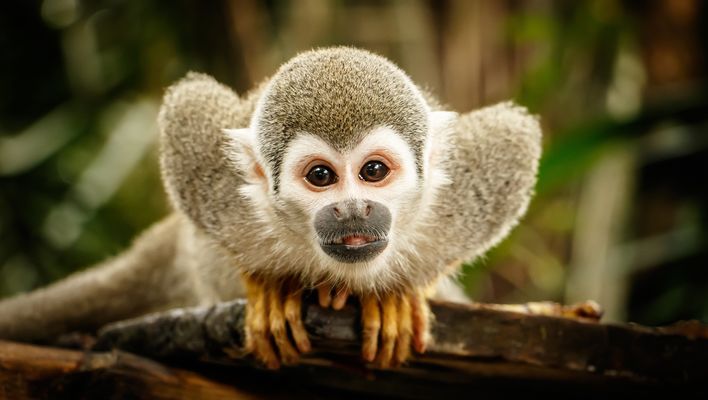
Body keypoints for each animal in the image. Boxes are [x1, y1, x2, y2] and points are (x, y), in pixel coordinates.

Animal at [0, 47, 541, 369]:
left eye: (373, 172)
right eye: (321, 176)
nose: (352, 210)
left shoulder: (464, 193)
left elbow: (515, 137)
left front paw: (400, 294)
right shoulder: (218, 190)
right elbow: (189, 107)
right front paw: (268, 286)